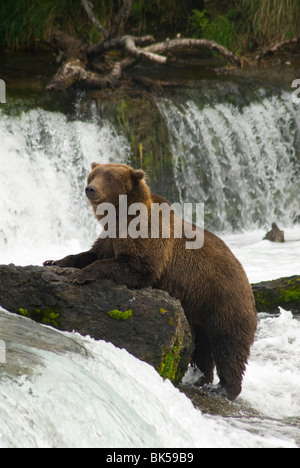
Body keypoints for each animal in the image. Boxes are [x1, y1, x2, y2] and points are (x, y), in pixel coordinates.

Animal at [43, 163, 256, 400]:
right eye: (93, 175)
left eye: (109, 177)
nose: (90, 188)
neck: (120, 215)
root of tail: (245, 277)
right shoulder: (110, 237)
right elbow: (90, 254)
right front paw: (53, 261)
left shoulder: (147, 239)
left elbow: (136, 267)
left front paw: (78, 276)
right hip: (197, 310)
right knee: (202, 346)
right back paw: (202, 379)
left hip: (222, 299)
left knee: (228, 344)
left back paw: (225, 388)